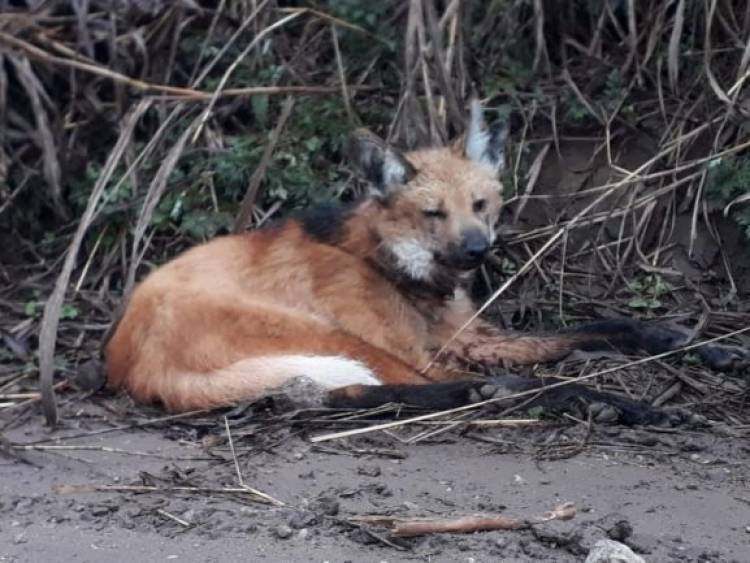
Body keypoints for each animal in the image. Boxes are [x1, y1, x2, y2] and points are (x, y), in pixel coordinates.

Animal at [103, 103, 748, 426]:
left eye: (481, 205)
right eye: (433, 213)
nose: (478, 251)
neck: (398, 269)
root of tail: (128, 359)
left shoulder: (473, 337)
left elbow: (605, 327)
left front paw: (701, 345)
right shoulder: (432, 351)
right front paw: (624, 396)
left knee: (334, 394)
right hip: (329, 335)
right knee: (373, 390)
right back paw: (578, 400)